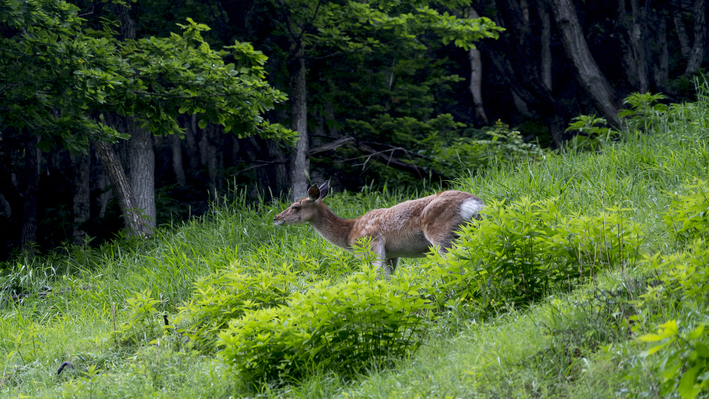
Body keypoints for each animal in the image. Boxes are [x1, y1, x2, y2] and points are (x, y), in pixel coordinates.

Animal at [272, 183, 482, 276]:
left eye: (295, 207)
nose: (276, 218)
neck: (349, 234)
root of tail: (474, 204)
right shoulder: (392, 254)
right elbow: (390, 278)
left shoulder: (371, 245)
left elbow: (376, 275)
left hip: (442, 234)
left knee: (454, 260)